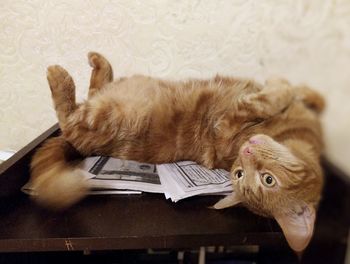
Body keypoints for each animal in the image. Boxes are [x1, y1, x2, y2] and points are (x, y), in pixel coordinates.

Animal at [28, 51, 326, 252]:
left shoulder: (227, 124)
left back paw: (59, 76)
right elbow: (292, 95)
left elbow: (266, 100)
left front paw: (285, 89)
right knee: (91, 93)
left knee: (70, 117)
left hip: (104, 118)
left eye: (266, 180)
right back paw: (96, 62)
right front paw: (302, 91)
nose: (247, 150)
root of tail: (79, 146)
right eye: (241, 173)